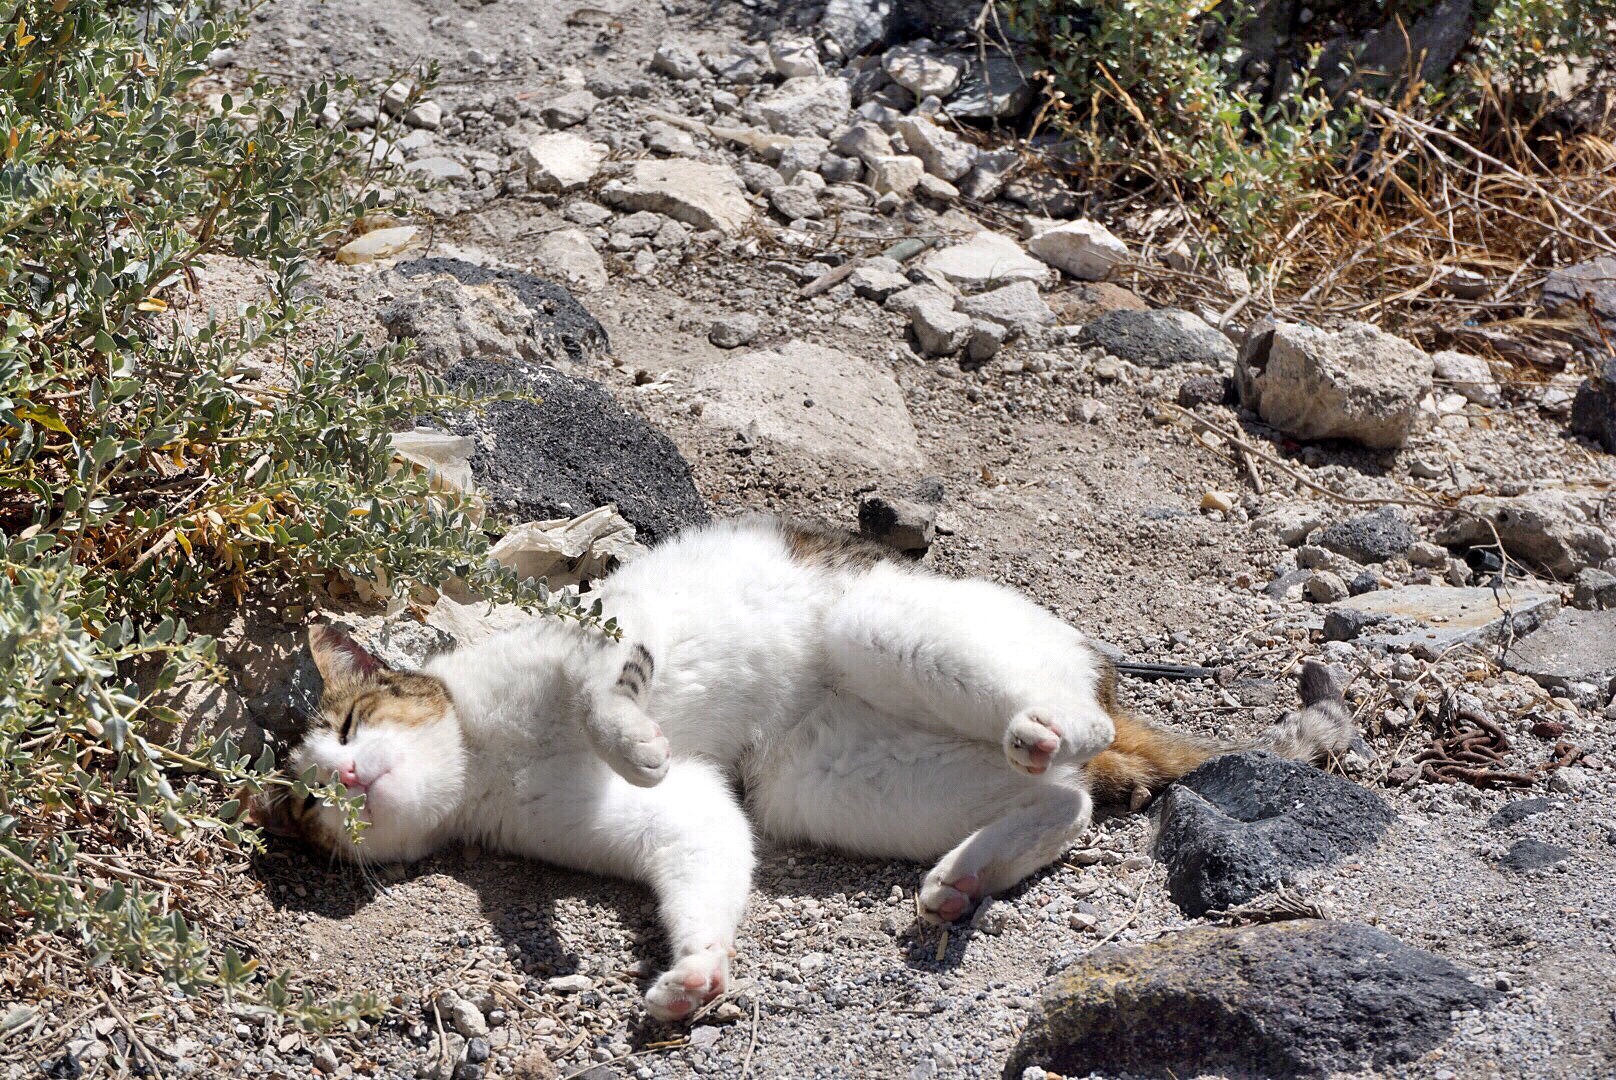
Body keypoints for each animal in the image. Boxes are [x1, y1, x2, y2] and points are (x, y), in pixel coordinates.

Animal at [252, 514, 1357, 1021]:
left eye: (348, 722)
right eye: (304, 806)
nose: (342, 784)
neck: (487, 761)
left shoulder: (591, 648)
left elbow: (608, 704)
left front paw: (636, 740)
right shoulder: (678, 815)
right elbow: (699, 855)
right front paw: (695, 976)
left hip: (886, 629)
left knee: (1072, 730)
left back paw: (1045, 730)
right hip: (833, 784)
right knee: (1067, 804)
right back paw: (963, 880)